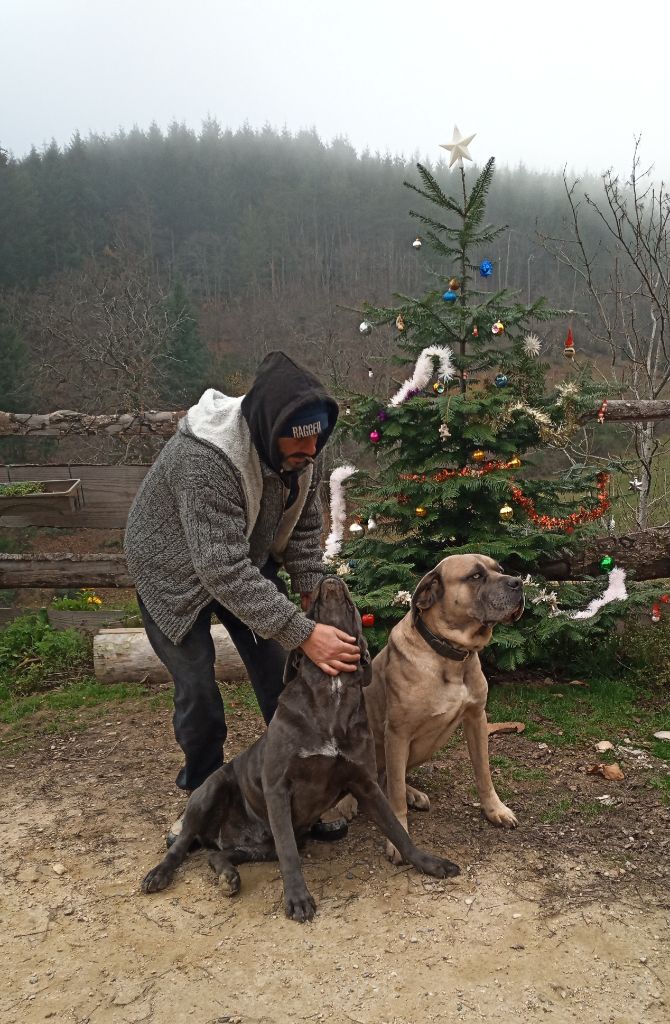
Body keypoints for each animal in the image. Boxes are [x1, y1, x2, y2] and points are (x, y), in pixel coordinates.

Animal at [143, 577, 463, 921]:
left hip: (258, 847)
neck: (331, 692)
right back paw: (160, 873)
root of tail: (217, 837)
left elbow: (397, 830)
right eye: (308, 611)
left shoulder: (365, 783)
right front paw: (297, 898)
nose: (330, 579)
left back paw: (228, 875)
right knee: (181, 844)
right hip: (211, 790)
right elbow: (290, 854)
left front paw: (428, 862)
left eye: (352, 607)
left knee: (218, 856)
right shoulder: (277, 788)